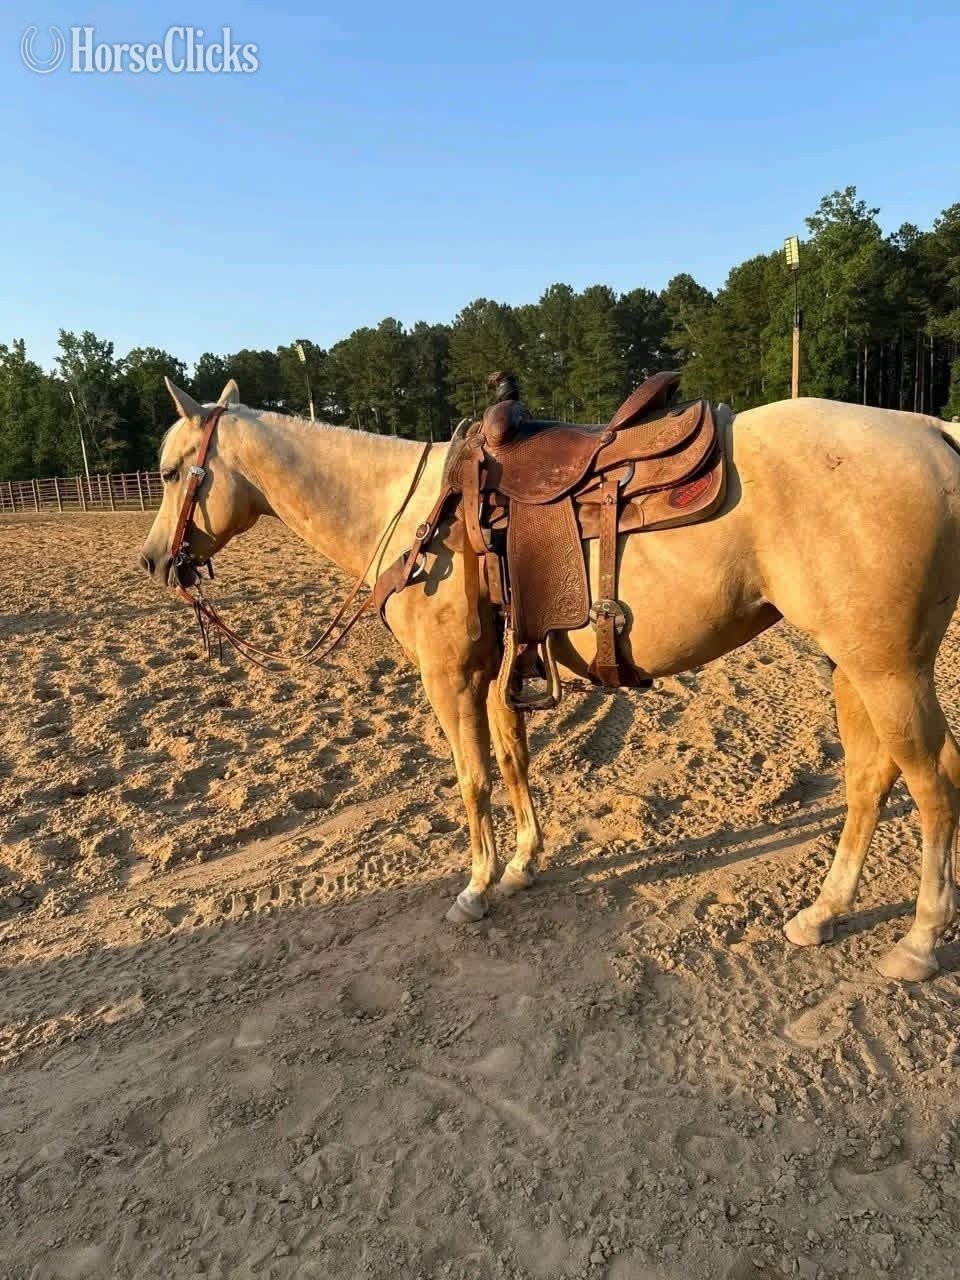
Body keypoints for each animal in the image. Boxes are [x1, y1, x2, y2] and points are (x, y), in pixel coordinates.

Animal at [141, 377, 960, 982]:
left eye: (174, 471)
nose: (153, 561)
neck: (416, 516)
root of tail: (931, 429)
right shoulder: (497, 670)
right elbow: (513, 762)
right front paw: (522, 865)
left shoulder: (450, 677)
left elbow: (472, 777)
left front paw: (476, 888)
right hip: (851, 666)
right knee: (870, 777)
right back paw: (824, 912)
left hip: (888, 668)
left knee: (932, 781)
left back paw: (919, 941)